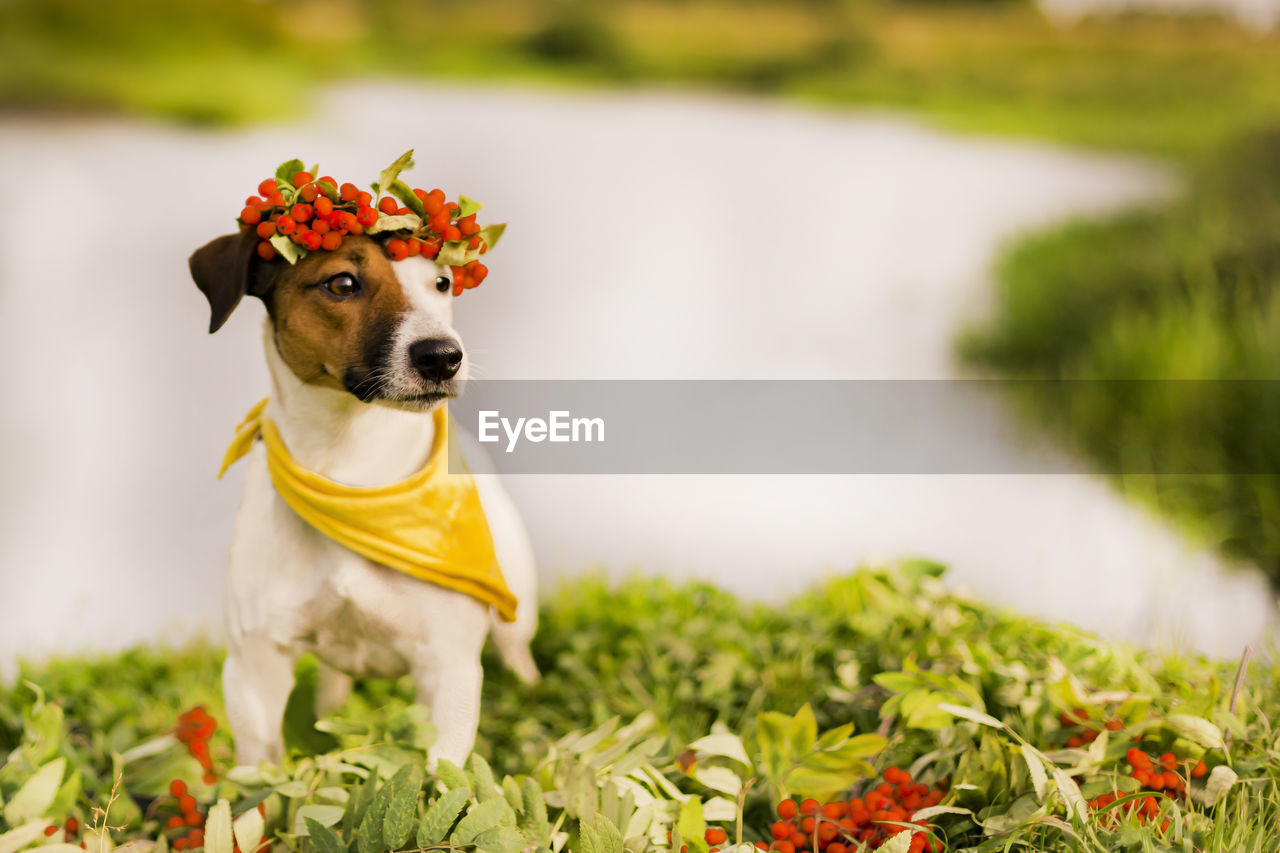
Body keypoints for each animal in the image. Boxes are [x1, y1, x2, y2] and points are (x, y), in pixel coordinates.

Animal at [186, 225, 537, 763]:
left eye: (442, 282)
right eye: (342, 283)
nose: (443, 356)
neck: (354, 475)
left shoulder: (449, 670)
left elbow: (441, 774)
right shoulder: (253, 670)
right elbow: (261, 775)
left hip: (515, 598)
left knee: (518, 651)